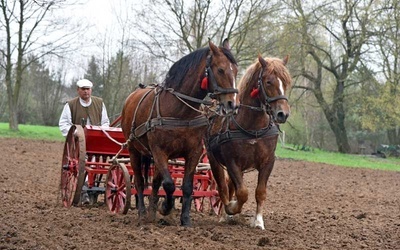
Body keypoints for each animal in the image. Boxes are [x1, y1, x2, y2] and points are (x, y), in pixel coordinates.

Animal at [119, 39, 238, 227]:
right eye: (220, 69)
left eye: (236, 70)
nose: (231, 104)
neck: (180, 110)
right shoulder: (159, 151)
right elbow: (169, 184)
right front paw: (165, 207)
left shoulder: (194, 151)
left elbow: (186, 186)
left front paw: (185, 219)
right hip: (134, 150)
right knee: (139, 182)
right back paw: (143, 213)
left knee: (154, 183)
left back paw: (152, 212)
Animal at [206, 55, 290, 230]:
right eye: (268, 82)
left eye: (285, 82)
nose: (283, 114)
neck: (253, 127)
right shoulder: (231, 162)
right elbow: (242, 193)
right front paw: (231, 208)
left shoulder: (268, 161)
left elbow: (260, 192)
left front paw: (258, 221)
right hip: (213, 159)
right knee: (223, 187)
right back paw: (225, 214)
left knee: (230, 186)